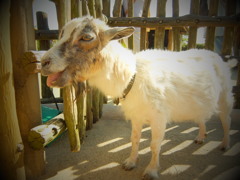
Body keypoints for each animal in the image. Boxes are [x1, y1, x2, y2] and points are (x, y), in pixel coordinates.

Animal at [40, 16, 234, 179]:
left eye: (86, 37)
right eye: (61, 33)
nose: (43, 62)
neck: (132, 76)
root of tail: (218, 57)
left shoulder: (159, 117)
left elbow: (155, 145)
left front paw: (151, 171)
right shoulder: (136, 116)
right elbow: (134, 140)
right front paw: (130, 162)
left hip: (224, 96)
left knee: (226, 120)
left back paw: (225, 144)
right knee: (201, 116)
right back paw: (201, 137)